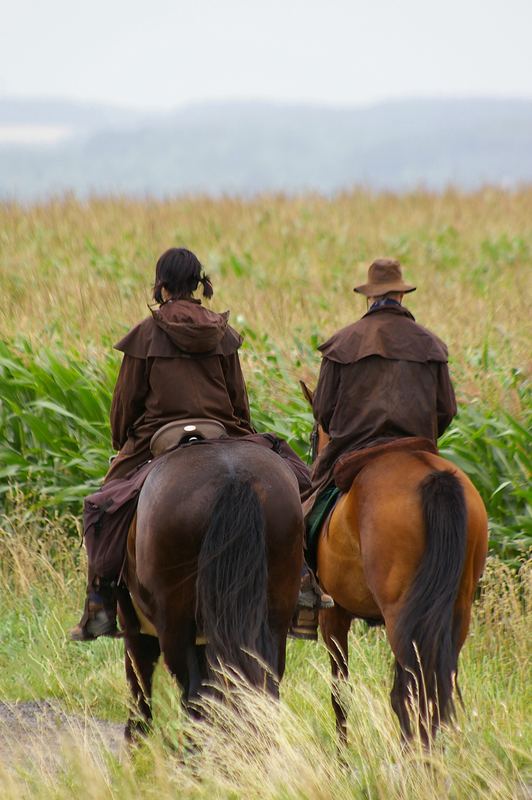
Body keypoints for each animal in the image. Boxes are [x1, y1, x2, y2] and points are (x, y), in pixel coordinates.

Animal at [120, 440, 304, 740]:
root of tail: (234, 479)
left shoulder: (133, 620)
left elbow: (139, 672)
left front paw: (137, 736)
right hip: (276, 611)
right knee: (265, 681)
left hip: (174, 621)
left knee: (193, 693)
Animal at [302, 384, 488, 748]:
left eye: (314, 435)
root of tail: (435, 477)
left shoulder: (334, 614)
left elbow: (340, 692)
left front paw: (342, 756)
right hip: (453, 610)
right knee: (429, 689)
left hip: (398, 614)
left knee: (409, 694)